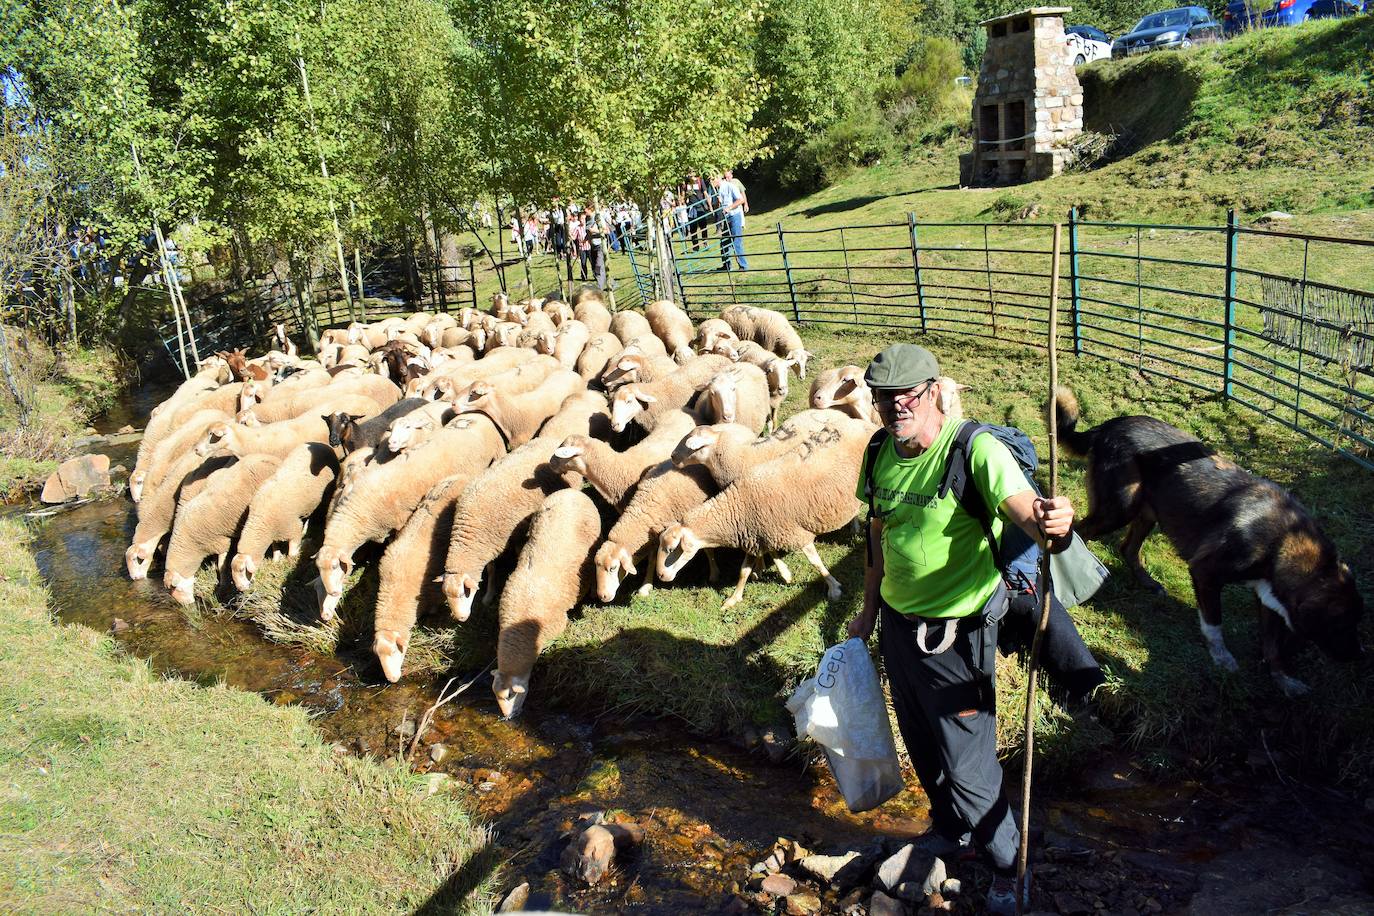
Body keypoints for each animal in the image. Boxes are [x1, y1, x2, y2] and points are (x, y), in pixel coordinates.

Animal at [164, 455, 281, 604]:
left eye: (177, 588)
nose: (189, 604)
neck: (191, 545)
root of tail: (272, 458)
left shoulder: (220, 541)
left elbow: (222, 565)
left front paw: (223, 585)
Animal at [230, 439, 338, 590]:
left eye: (242, 570)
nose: (241, 588)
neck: (261, 520)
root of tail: (322, 444)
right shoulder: (275, 532)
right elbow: (275, 547)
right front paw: (276, 559)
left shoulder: (292, 528)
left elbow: (292, 553)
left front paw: (293, 557)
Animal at [316, 417, 505, 623]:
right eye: (318, 585)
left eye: (336, 567)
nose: (325, 614)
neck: (363, 508)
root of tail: (477, 417)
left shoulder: (400, 524)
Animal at [1055, 387, 1357, 694]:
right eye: (1341, 626)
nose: (1358, 656)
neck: (1284, 540)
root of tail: (1108, 425)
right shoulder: (1205, 573)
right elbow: (1214, 625)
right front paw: (1222, 659)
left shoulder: (1268, 599)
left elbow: (1273, 646)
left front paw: (1283, 678)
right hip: (1120, 507)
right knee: (1080, 531)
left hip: (1148, 510)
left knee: (1127, 548)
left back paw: (1147, 582)